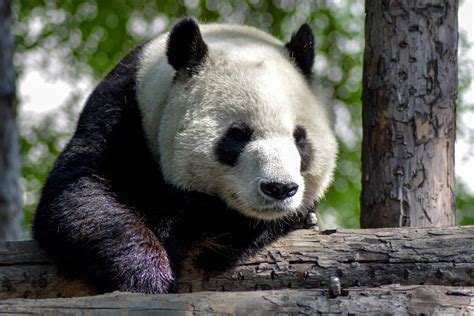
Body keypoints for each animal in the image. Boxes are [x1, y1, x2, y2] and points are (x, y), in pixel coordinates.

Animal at [32, 16, 336, 294]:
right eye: (238, 134)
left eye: (299, 138)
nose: (279, 188)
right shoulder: (122, 113)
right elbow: (79, 197)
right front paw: (149, 277)